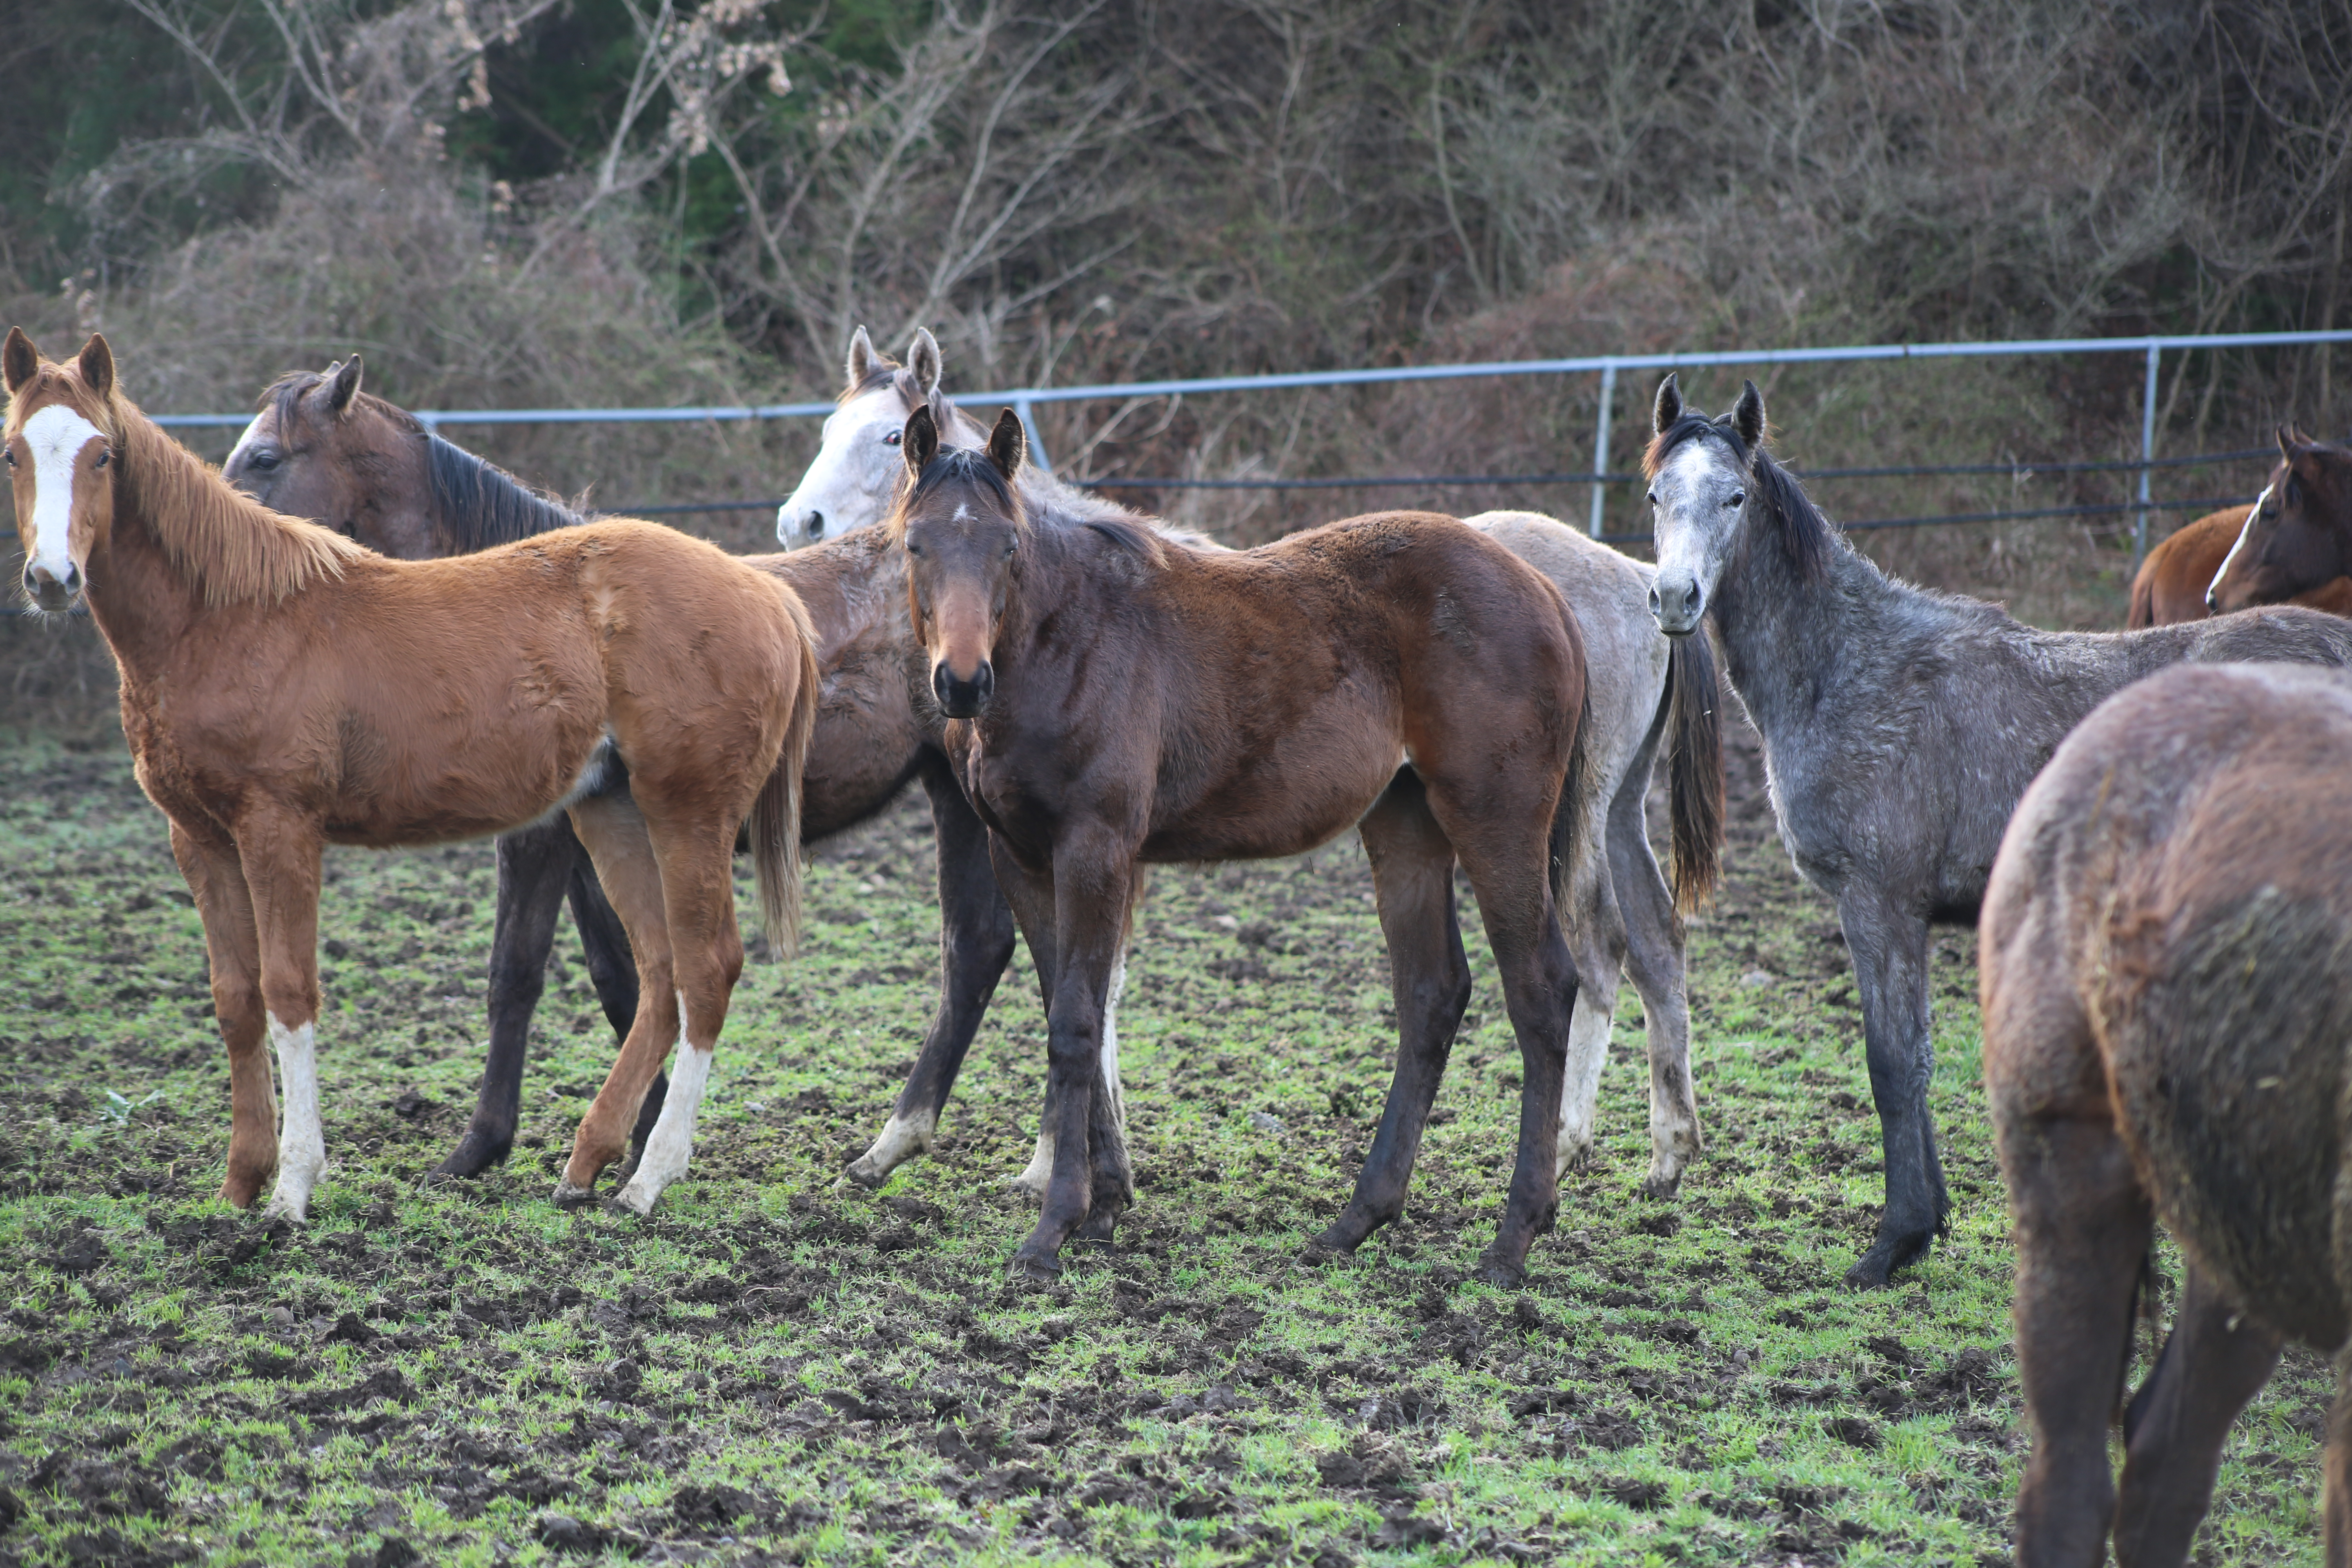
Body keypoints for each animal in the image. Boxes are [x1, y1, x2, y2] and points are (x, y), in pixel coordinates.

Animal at [4, 331, 823, 1222]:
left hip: (688, 813)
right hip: (613, 814)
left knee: (706, 970)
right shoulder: (199, 838)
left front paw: (293, 1188)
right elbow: (237, 1000)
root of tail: (768, 594)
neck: (227, 617)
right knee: (661, 974)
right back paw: (587, 1164)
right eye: (13, 453)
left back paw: (647, 1179)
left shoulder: (279, 827)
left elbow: (289, 993)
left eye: (104, 455)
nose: (52, 579)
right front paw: (239, 1184)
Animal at [889, 404, 1590, 1288]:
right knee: (1432, 995)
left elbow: (1079, 1022)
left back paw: (1510, 1240)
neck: (1064, 641)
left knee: (1541, 991)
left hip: (1497, 820)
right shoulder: (1019, 855)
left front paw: (1055, 1228)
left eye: (1008, 546)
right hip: (1404, 825)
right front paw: (1106, 1205)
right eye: (916, 545)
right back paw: (1356, 1221)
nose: (961, 682)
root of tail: (1543, 590)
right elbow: (1065, 1009)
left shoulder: (1095, 849)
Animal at [1646, 371, 2352, 1288]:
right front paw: (1928, 1225)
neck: (1851, 668)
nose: (1674, 599)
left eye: (1733, 496)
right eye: (1657, 495)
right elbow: (1916, 1055)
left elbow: (1890, 1065)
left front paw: (1893, 1242)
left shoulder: (1879, 903)